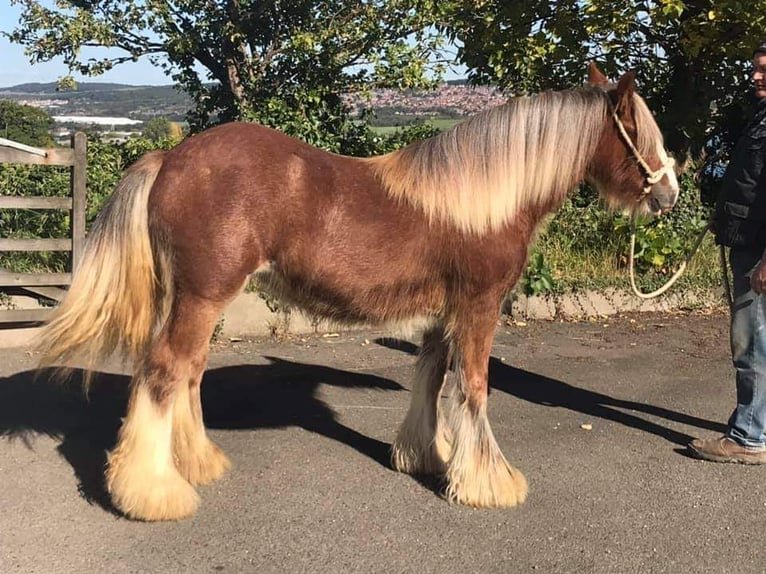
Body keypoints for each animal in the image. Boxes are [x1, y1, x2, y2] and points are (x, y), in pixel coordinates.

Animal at [37, 63, 680, 520]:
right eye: (637, 133)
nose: (669, 194)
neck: (485, 198)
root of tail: (170, 156)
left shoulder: (441, 314)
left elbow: (432, 379)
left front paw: (427, 458)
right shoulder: (478, 306)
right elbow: (474, 387)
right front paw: (491, 483)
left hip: (198, 299)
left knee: (187, 371)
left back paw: (198, 464)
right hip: (202, 295)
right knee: (166, 371)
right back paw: (154, 494)